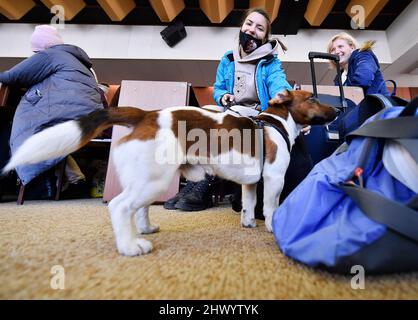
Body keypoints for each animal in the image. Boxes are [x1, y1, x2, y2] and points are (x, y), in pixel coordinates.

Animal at [3, 89, 336, 256]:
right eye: (313, 98)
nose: (339, 110)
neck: (276, 123)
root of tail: (145, 115)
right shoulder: (273, 179)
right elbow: (270, 207)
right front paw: (271, 226)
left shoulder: (250, 183)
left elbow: (249, 205)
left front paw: (248, 224)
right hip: (154, 180)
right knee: (119, 207)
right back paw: (130, 246)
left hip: (152, 180)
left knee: (139, 209)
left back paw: (145, 229)